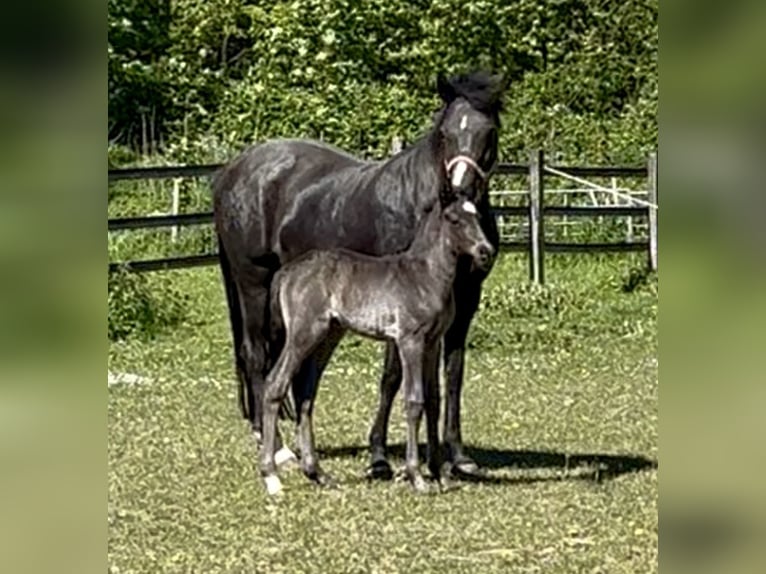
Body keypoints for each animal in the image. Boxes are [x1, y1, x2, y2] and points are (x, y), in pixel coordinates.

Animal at [261, 200, 495, 494]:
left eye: (478, 216)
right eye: (454, 219)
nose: (485, 251)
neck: (425, 275)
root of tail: (286, 271)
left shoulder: (432, 342)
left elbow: (433, 401)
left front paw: (440, 475)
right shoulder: (410, 340)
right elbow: (414, 401)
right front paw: (417, 477)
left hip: (327, 337)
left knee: (305, 395)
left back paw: (318, 473)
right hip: (303, 335)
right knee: (275, 384)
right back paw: (271, 476)